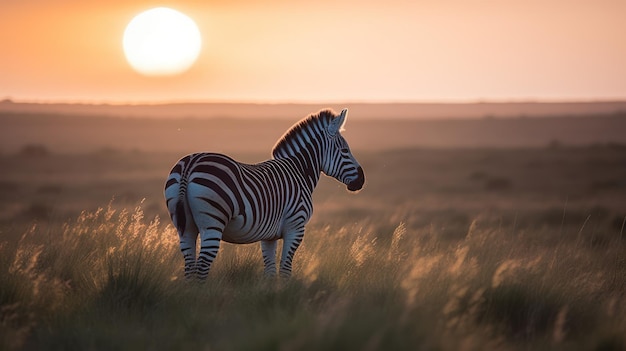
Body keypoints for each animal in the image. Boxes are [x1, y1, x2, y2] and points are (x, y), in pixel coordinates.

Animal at [163, 109, 364, 280]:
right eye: (345, 150)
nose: (361, 180)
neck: (299, 170)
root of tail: (190, 163)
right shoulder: (295, 227)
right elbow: (285, 270)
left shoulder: (269, 236)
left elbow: (270, 272)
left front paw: (270, 297)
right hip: (212, 223)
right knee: (201, 268)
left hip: (185, 227)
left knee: (190, 267)